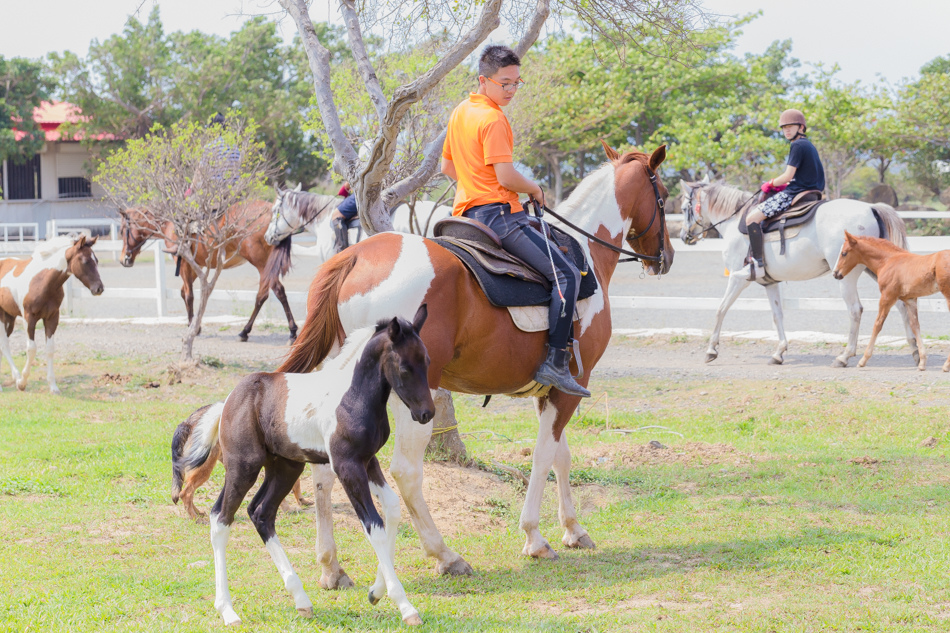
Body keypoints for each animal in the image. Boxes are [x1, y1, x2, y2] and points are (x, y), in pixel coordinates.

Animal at [0, 235, 104, 392]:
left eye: (97, 260)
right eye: (85, 261)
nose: (99, 288)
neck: (42, 282)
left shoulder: (52, 318)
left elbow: (50, 349)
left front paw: (53, 386)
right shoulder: (28, 319)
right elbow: (31, 349)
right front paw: (22, 383)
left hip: (9, 317)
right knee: (4, 343)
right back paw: (16, 377)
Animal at [119, 200, 300, 344]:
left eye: (121, 230)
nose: (123, 259)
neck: (169, 224)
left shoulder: (184, 264)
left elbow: (189, 295)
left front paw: (192, 327)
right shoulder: (193, 268)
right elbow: (183, 293)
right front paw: (194, 326)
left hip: (262, 264)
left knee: (273, 292)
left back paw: (283, 332)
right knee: (267, 294)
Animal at [173, 304, 434, 624]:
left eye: (427, 361)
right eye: (405, 367)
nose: (426, 413)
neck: (352, 396)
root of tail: (226, 403)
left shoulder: (368, 461)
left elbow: (393, 508)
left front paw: (376, 592)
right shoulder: (346, 465)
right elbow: (373, 524)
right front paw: (405, 605)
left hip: (285, 468)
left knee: (259, 513)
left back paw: (301, 599)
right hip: (243, 468)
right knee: (222, 519)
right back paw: (228, 610)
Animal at [278, 142, 672, 584]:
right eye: (664, 195)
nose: (666, 257)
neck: (584, 257)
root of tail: (357, 256)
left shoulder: (553, 390)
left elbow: (561, 456)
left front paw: (573, 528)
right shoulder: (572, 386)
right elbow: (543, 457)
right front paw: (535, 537)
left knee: (324, 468)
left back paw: (331, 566)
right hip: (415, 401)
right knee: (406, 473)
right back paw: (445, 555)